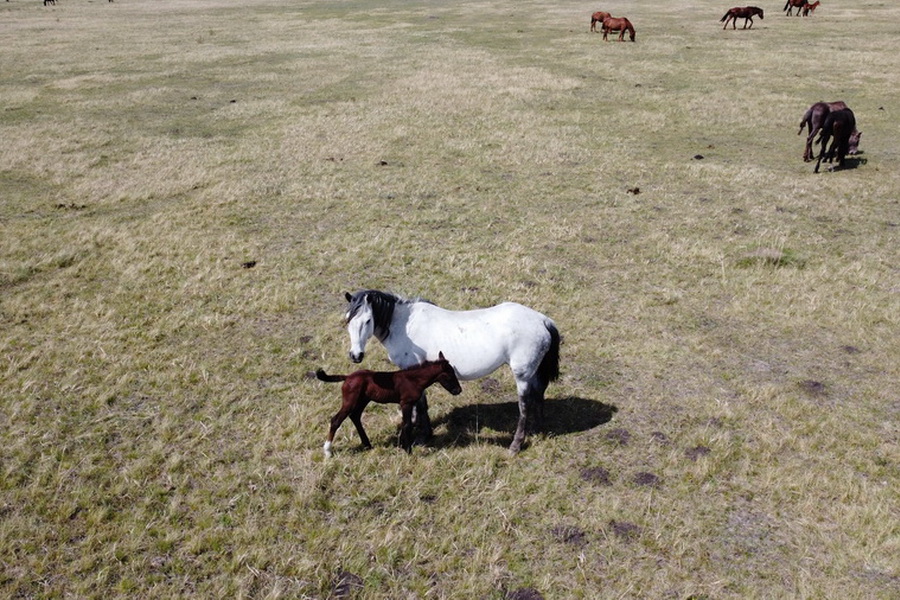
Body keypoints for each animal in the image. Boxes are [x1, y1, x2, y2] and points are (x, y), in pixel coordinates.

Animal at [316, 352, 460, 454]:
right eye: (449, 376)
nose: (458, 390)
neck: (413, 380)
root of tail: (347, 377)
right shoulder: (405, 403)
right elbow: (407, 425)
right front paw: (408, 451)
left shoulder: (410, 403)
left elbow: (407, 423)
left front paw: (403, 445)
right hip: (350, 401)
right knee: (336, 420)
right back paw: (328, 451)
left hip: (363, 400)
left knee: (355, 416)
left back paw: (367, 444)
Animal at [342, 292, 560, 454]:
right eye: (347, 320)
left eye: (367, 320)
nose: (355, 355)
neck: (405, 325)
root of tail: (543, 320)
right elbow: (421, 404)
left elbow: (420, 405)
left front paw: (422, 436)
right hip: (533, 372)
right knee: (539, 395)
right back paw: (538, 430)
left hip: (521, 375)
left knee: (524, 406)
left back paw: (515, 445)